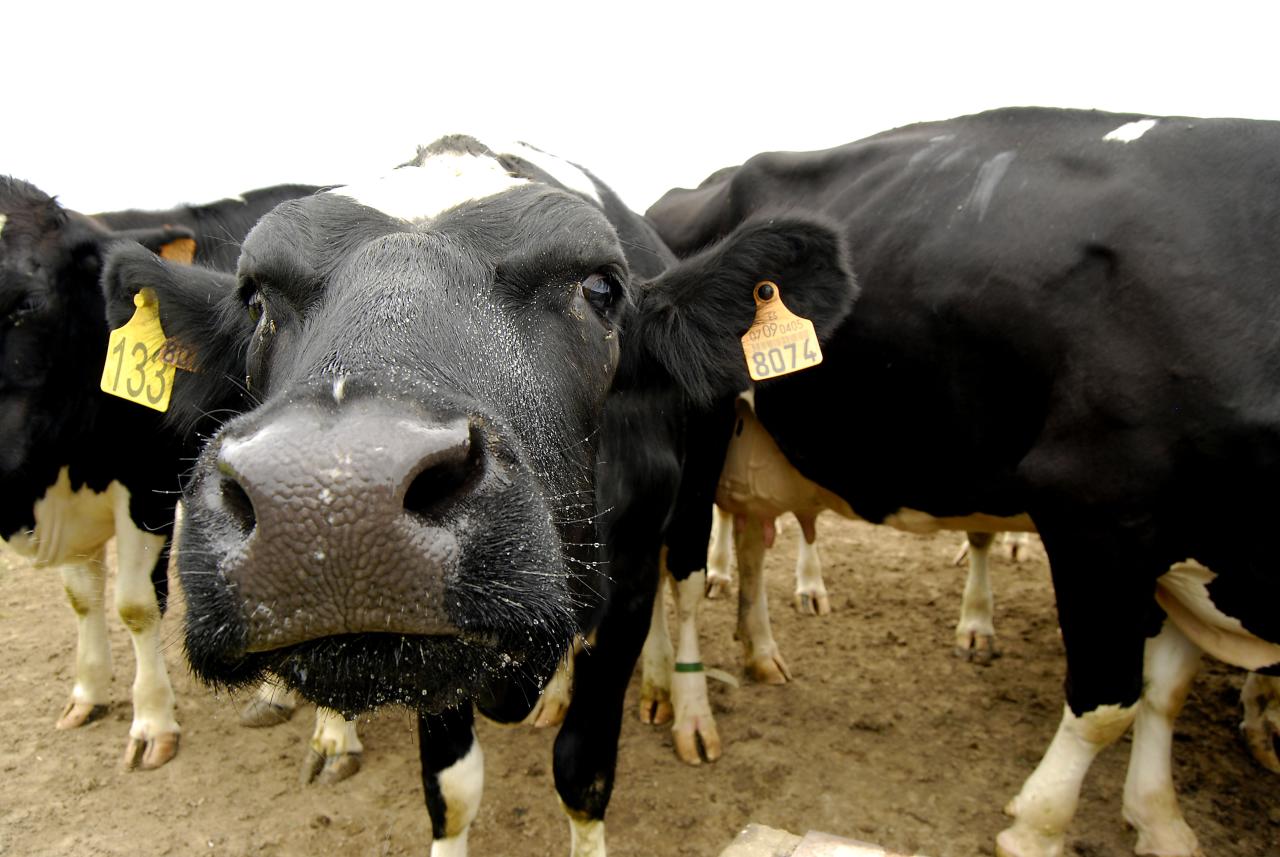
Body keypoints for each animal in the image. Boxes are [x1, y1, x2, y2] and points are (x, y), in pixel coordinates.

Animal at [0, 177, 317, 767]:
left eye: (27, 302)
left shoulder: (146, 490)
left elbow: (135, 605)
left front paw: (151, 721)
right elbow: (81, 597)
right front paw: (87, 692)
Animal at [102, 137, 860, 854]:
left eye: (600, 286)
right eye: (257, 300)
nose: (330, 500)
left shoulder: (629, 584)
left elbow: (583, 771)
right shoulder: (434, 653)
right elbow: (453, 787)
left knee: (692, 587)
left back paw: (684, 703)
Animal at [645, 109, 1280, 857]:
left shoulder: (1190, 546)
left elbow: (1165, 692)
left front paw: (1159, 819)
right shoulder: (1097, 519)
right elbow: (1107, 704)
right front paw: (1038, 826)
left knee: (736, 546)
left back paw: (749, 657)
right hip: (695, 446)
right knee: (680, 577)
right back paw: (685, 708)